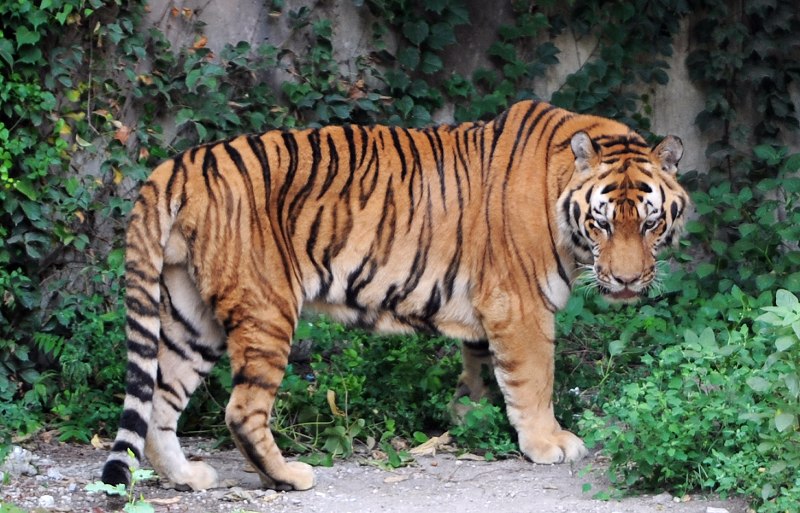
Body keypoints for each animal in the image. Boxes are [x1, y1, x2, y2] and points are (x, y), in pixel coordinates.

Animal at [101, 99, 689, 492]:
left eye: (650, 222)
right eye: (603, 223)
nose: (628, 282)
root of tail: (179, 162)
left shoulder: (488, 307)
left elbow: (480, 367)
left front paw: (467, 417)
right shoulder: (521, 305)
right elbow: (535, 379)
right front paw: (548, 443)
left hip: (190, 315)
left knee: (160, 401)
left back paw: (187, 477)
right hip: (265, 309)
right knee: (241, 411)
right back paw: (289, 475)